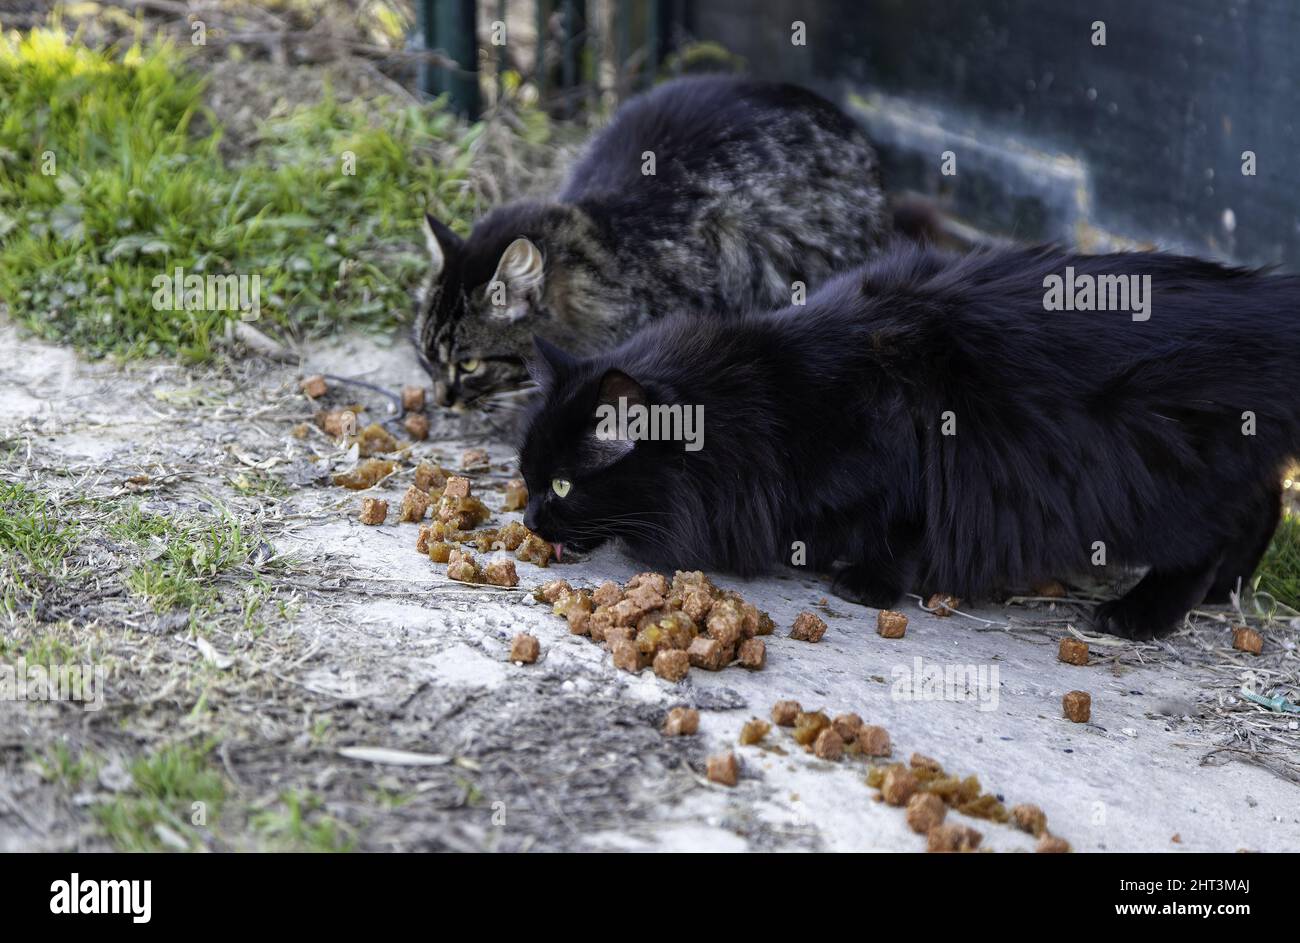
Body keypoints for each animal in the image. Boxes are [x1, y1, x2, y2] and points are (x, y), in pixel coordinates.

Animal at [517, 243, 1300, 639]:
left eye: (562, 485)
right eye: (526, 481)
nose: (527, 519)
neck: (764, 403)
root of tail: (1263, 301)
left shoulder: (907, 460)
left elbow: (903, 530)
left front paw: (866, 579)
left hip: (1163, 475)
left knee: (1210, 534)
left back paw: (1143, 614)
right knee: (1259, 505)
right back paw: (1226, 589)